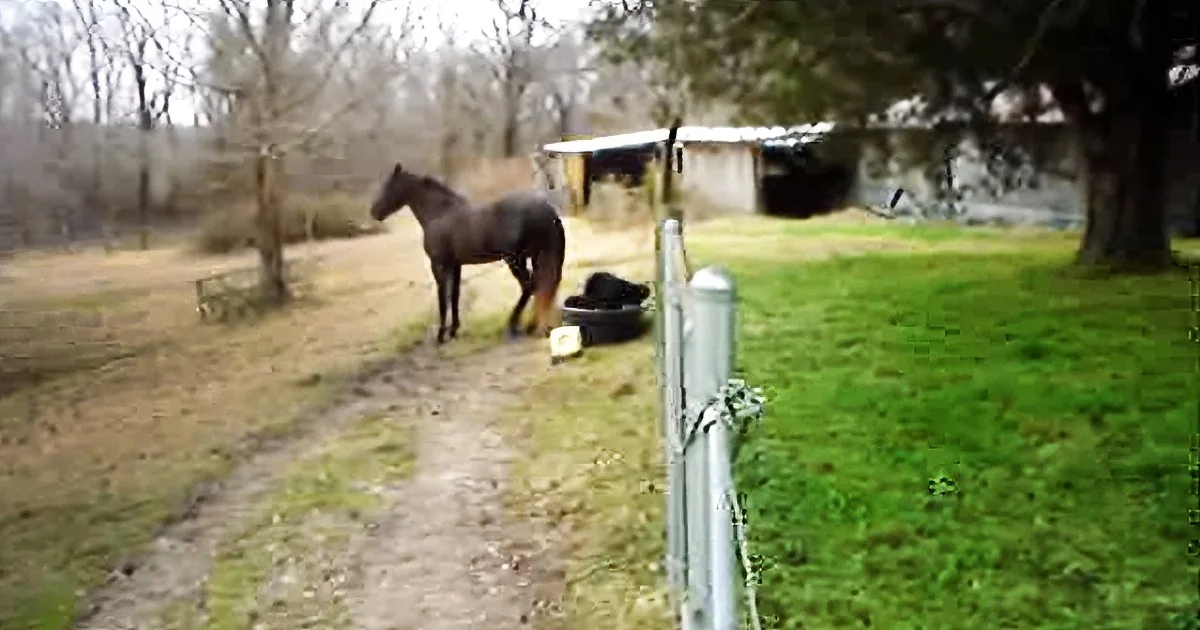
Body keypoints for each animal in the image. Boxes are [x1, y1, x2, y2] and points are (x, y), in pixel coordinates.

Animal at [368, 162, 566, 344]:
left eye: (388, 187)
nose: (374, 212)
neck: (440, 214)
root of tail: (547, 211)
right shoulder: (456, 265)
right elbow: (455, 295)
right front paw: (453, 330)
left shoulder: (438, 265)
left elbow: (443, 298)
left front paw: (441, 335)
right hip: (535, 258)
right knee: (539, 287)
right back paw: (531, 326)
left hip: (515, 260)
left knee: (529, 287)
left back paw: (514, 326)